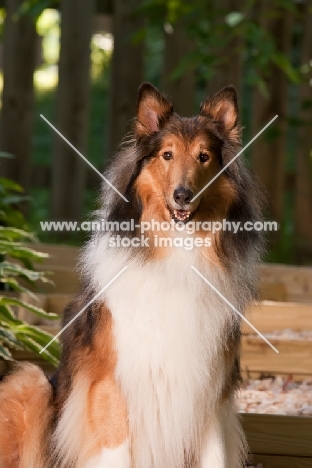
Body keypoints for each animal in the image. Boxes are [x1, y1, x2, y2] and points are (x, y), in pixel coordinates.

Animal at [0, 82, 264, 466]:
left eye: (204, 157)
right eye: (167, 155)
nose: (183, 196)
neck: (177, 251)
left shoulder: (211, 389)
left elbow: (215, 455)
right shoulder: (112, 381)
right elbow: (117, 446)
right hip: (31, 383)